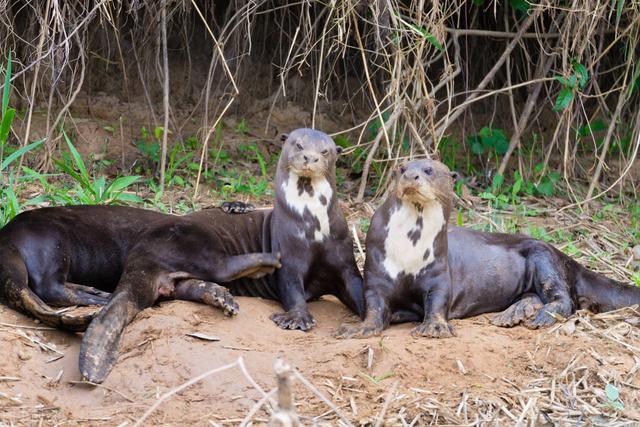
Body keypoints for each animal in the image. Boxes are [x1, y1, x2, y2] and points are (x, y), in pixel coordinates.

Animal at [338, 159, 636, 340]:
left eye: (429, 170)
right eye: (401, 168)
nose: (411, 175)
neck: (409, 251)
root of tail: (568, 258)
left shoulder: (438, 272)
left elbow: (437, 299)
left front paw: (435, 326)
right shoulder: (376, 273)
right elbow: (374, 305)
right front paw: (360, 329)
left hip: (544, 258)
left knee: (565, 299)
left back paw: (539, 317)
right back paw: (513, 314)